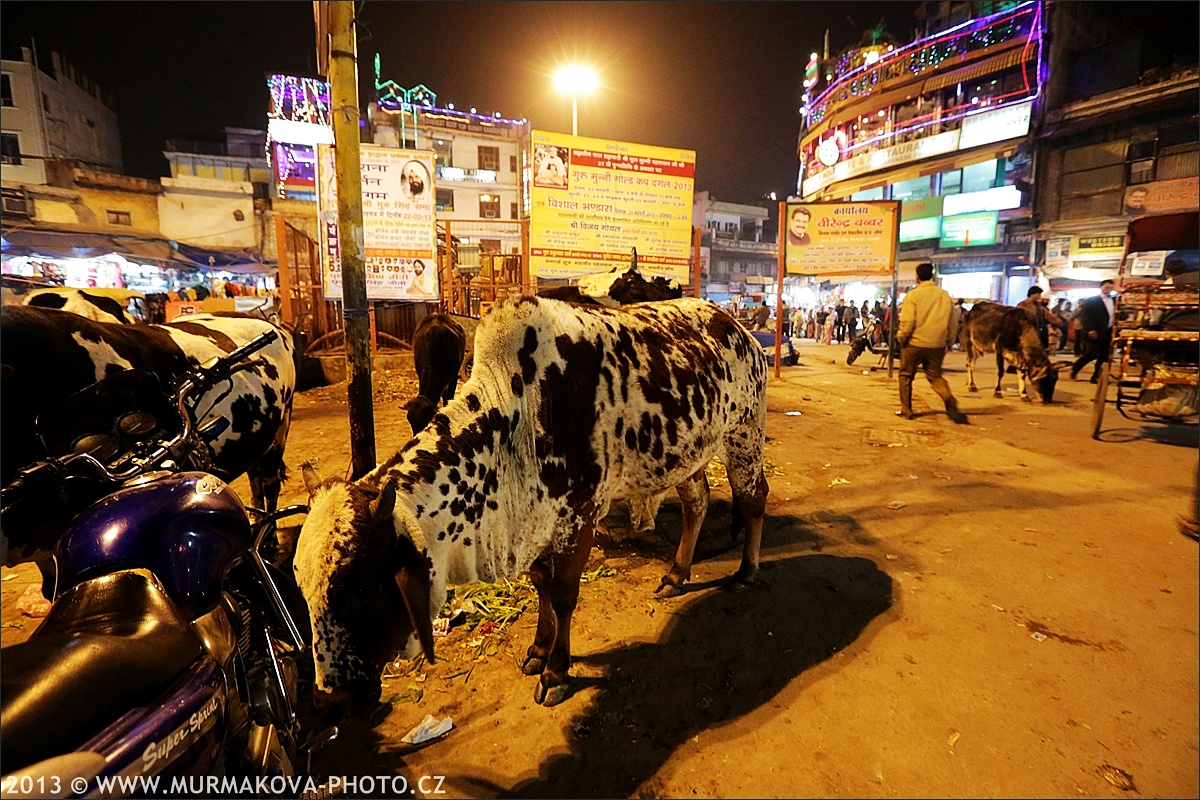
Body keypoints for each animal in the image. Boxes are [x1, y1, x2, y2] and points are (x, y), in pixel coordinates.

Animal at [295, 293, 772, 714]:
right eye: (301, 589)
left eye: (360, 589)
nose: (328, 700)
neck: (518, 417)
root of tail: (737, 327)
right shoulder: (536, 521)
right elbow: (542, 583)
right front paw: (538, 650)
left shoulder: (579, 516)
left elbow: (562, 595)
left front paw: (557, 673)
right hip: (690, 453)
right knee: (697, 503)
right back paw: (676, 574)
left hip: (743, 436)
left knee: (753, 499)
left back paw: (746, 572)